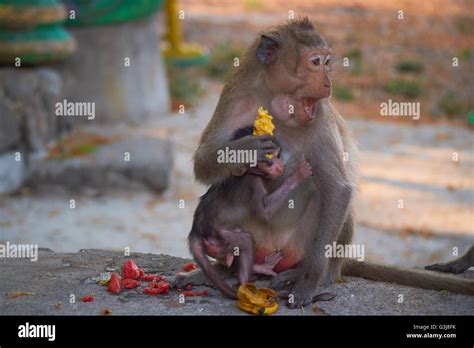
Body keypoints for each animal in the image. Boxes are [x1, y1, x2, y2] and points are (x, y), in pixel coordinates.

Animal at [187, 125, 312, 300]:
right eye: (268, 162)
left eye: (278, 155)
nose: (279, 166)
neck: (248, 173)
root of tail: (195, 231)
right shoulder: (253, 182)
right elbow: (265, 212)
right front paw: (297, 175)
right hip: (220, 236)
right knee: (245, 240)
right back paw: (248, 279)